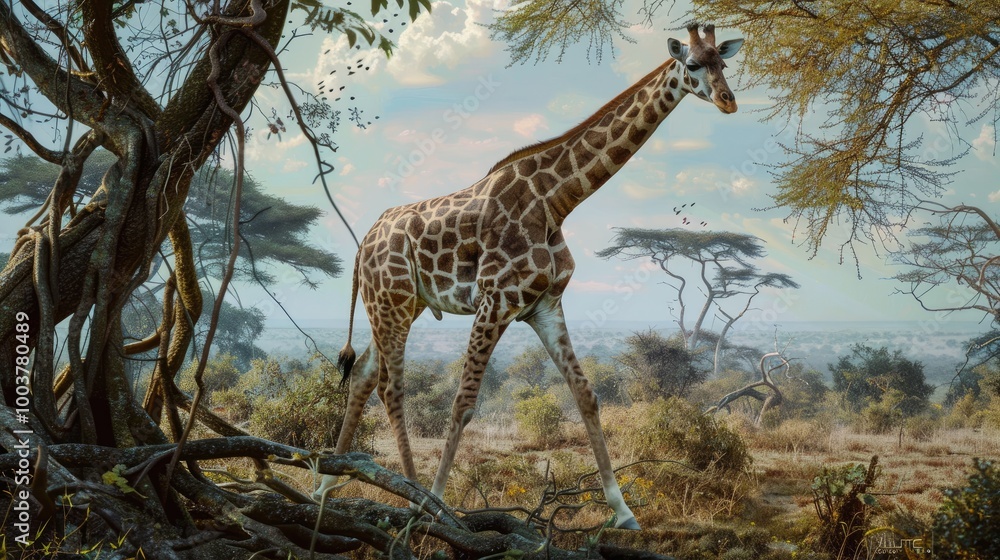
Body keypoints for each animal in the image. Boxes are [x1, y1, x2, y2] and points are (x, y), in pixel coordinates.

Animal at [317, 23, 744, 530]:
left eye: (724, 62)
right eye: (693, 64)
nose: (728, 101)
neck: (557, 200)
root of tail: (364, 242)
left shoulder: (544, 305)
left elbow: (586, 394)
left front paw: (623, 512)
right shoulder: (495, 299)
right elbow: (463, 403)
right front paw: (440, 504)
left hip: (400, 303)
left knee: (364, 373)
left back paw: (328, 483)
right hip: (393, 301)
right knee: (390, 386)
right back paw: (414, 495)